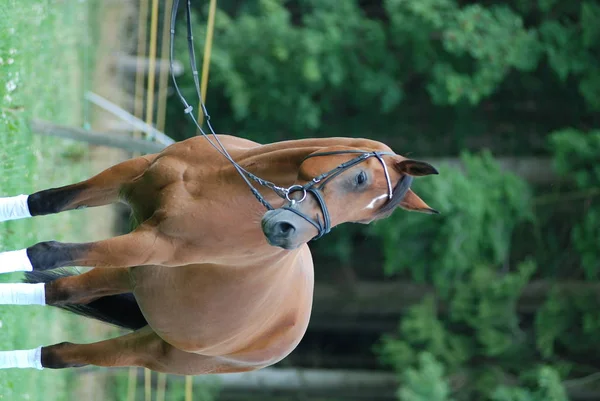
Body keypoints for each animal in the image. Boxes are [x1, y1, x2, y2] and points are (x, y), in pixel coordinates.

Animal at [1, 134, 440, 372]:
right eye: (360, 178)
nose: (285, 232)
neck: (219, 181)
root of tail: (286, 340)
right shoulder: (127, 176)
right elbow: (45, 203)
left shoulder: (151, 243)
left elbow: (45, 253)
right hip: (132, 273)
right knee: (61, 294)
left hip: (151, 349)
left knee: (61, 355)